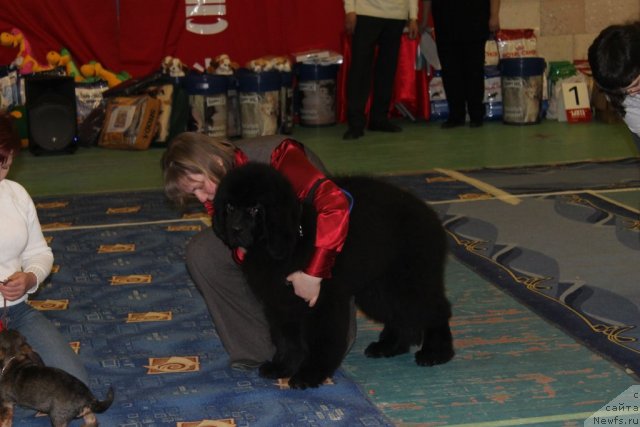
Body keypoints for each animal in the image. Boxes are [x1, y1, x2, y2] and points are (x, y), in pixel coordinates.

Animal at [212, 162, 452, 390]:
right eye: (230, 206)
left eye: (255, 209)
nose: (234, 229)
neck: (294, 240)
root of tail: (431, 217)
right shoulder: (279, 304)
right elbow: (286, 339)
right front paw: (283, 366)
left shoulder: (322, 301)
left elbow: (322, 340)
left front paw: (310, 375)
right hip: (377, 290)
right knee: (400, 317)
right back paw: (389, 346)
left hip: (408, 283)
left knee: (436, 310)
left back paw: (435, 352)